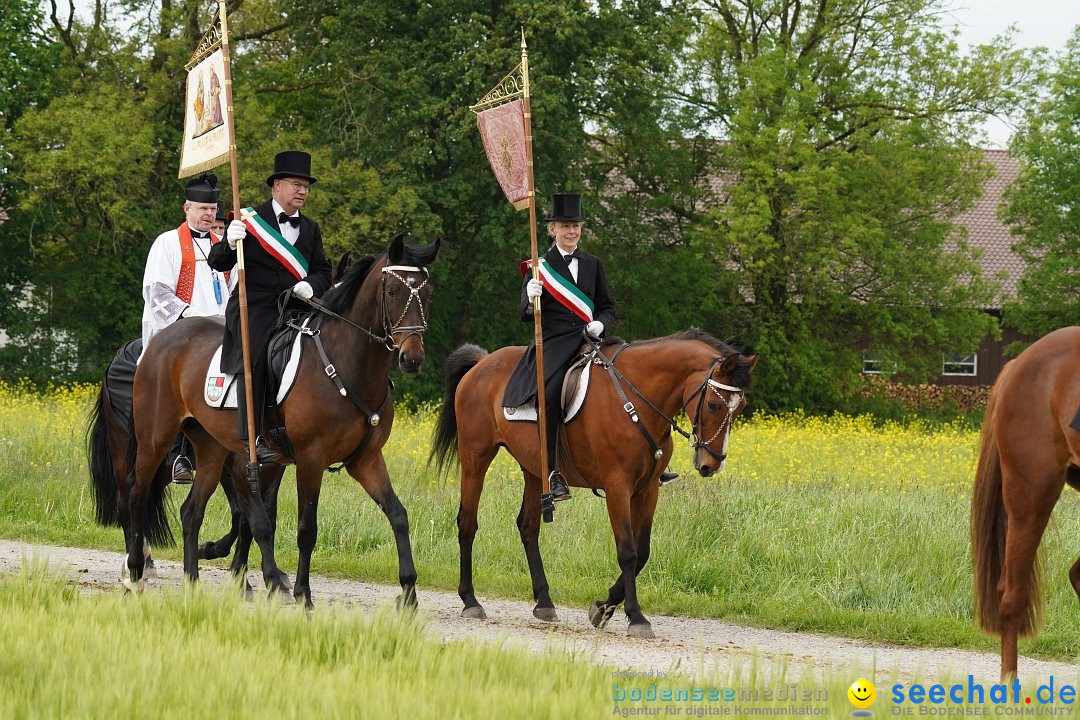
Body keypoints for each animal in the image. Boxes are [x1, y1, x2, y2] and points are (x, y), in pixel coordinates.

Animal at [110, 237, 438, 608]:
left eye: (427, 293)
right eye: (394, 291)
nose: (411, 358)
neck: (347, 362)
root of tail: (158, 342)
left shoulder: (365, 460)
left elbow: (398, 515)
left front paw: (409, 592)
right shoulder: (303, 459)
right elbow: (296, 527)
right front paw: (299, 593)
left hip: (209, 449)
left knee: (191, 510)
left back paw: (192, 582)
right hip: (155, 437)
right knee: (136, 494)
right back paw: (135, 571)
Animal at [432, 330, 760, 639]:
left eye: (740, 406)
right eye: (714, 405)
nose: (712, 464)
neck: (636, 398)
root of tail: (482, 362)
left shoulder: (648, 490)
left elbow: (643, 551)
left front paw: (605, 607)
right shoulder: (617, 487)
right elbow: (627, 551)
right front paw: (636, 617)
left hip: (534, 470)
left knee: (528, 527)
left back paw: (544, 602)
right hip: (476, 458)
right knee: (467, 523)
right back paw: (470, 600)